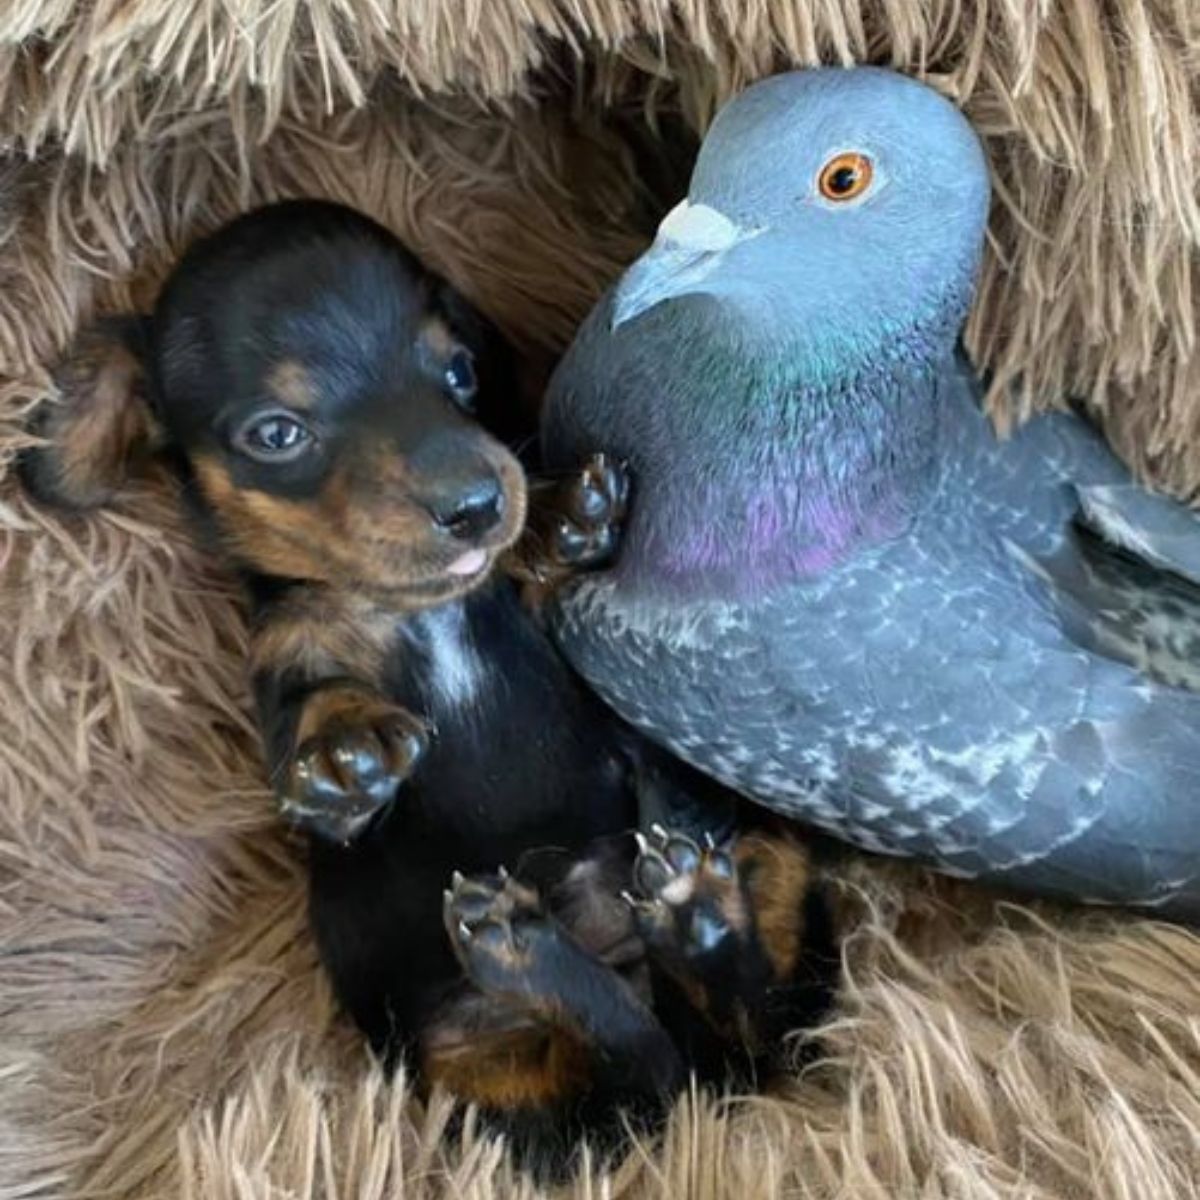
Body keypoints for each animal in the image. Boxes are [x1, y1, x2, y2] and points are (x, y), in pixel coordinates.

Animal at [21, 199, 844, 1171]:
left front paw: (562, 518)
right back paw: (550, 946)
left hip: (765, 862)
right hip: (469, 1057)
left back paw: (687, 918)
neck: (420, 609)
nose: (480, 504)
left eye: (457, 371)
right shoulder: (289, 659)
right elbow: (312, 712)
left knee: (728, 1036)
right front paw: (341, 752)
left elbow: (538, 580)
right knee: (641, 1061)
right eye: (276, 434)